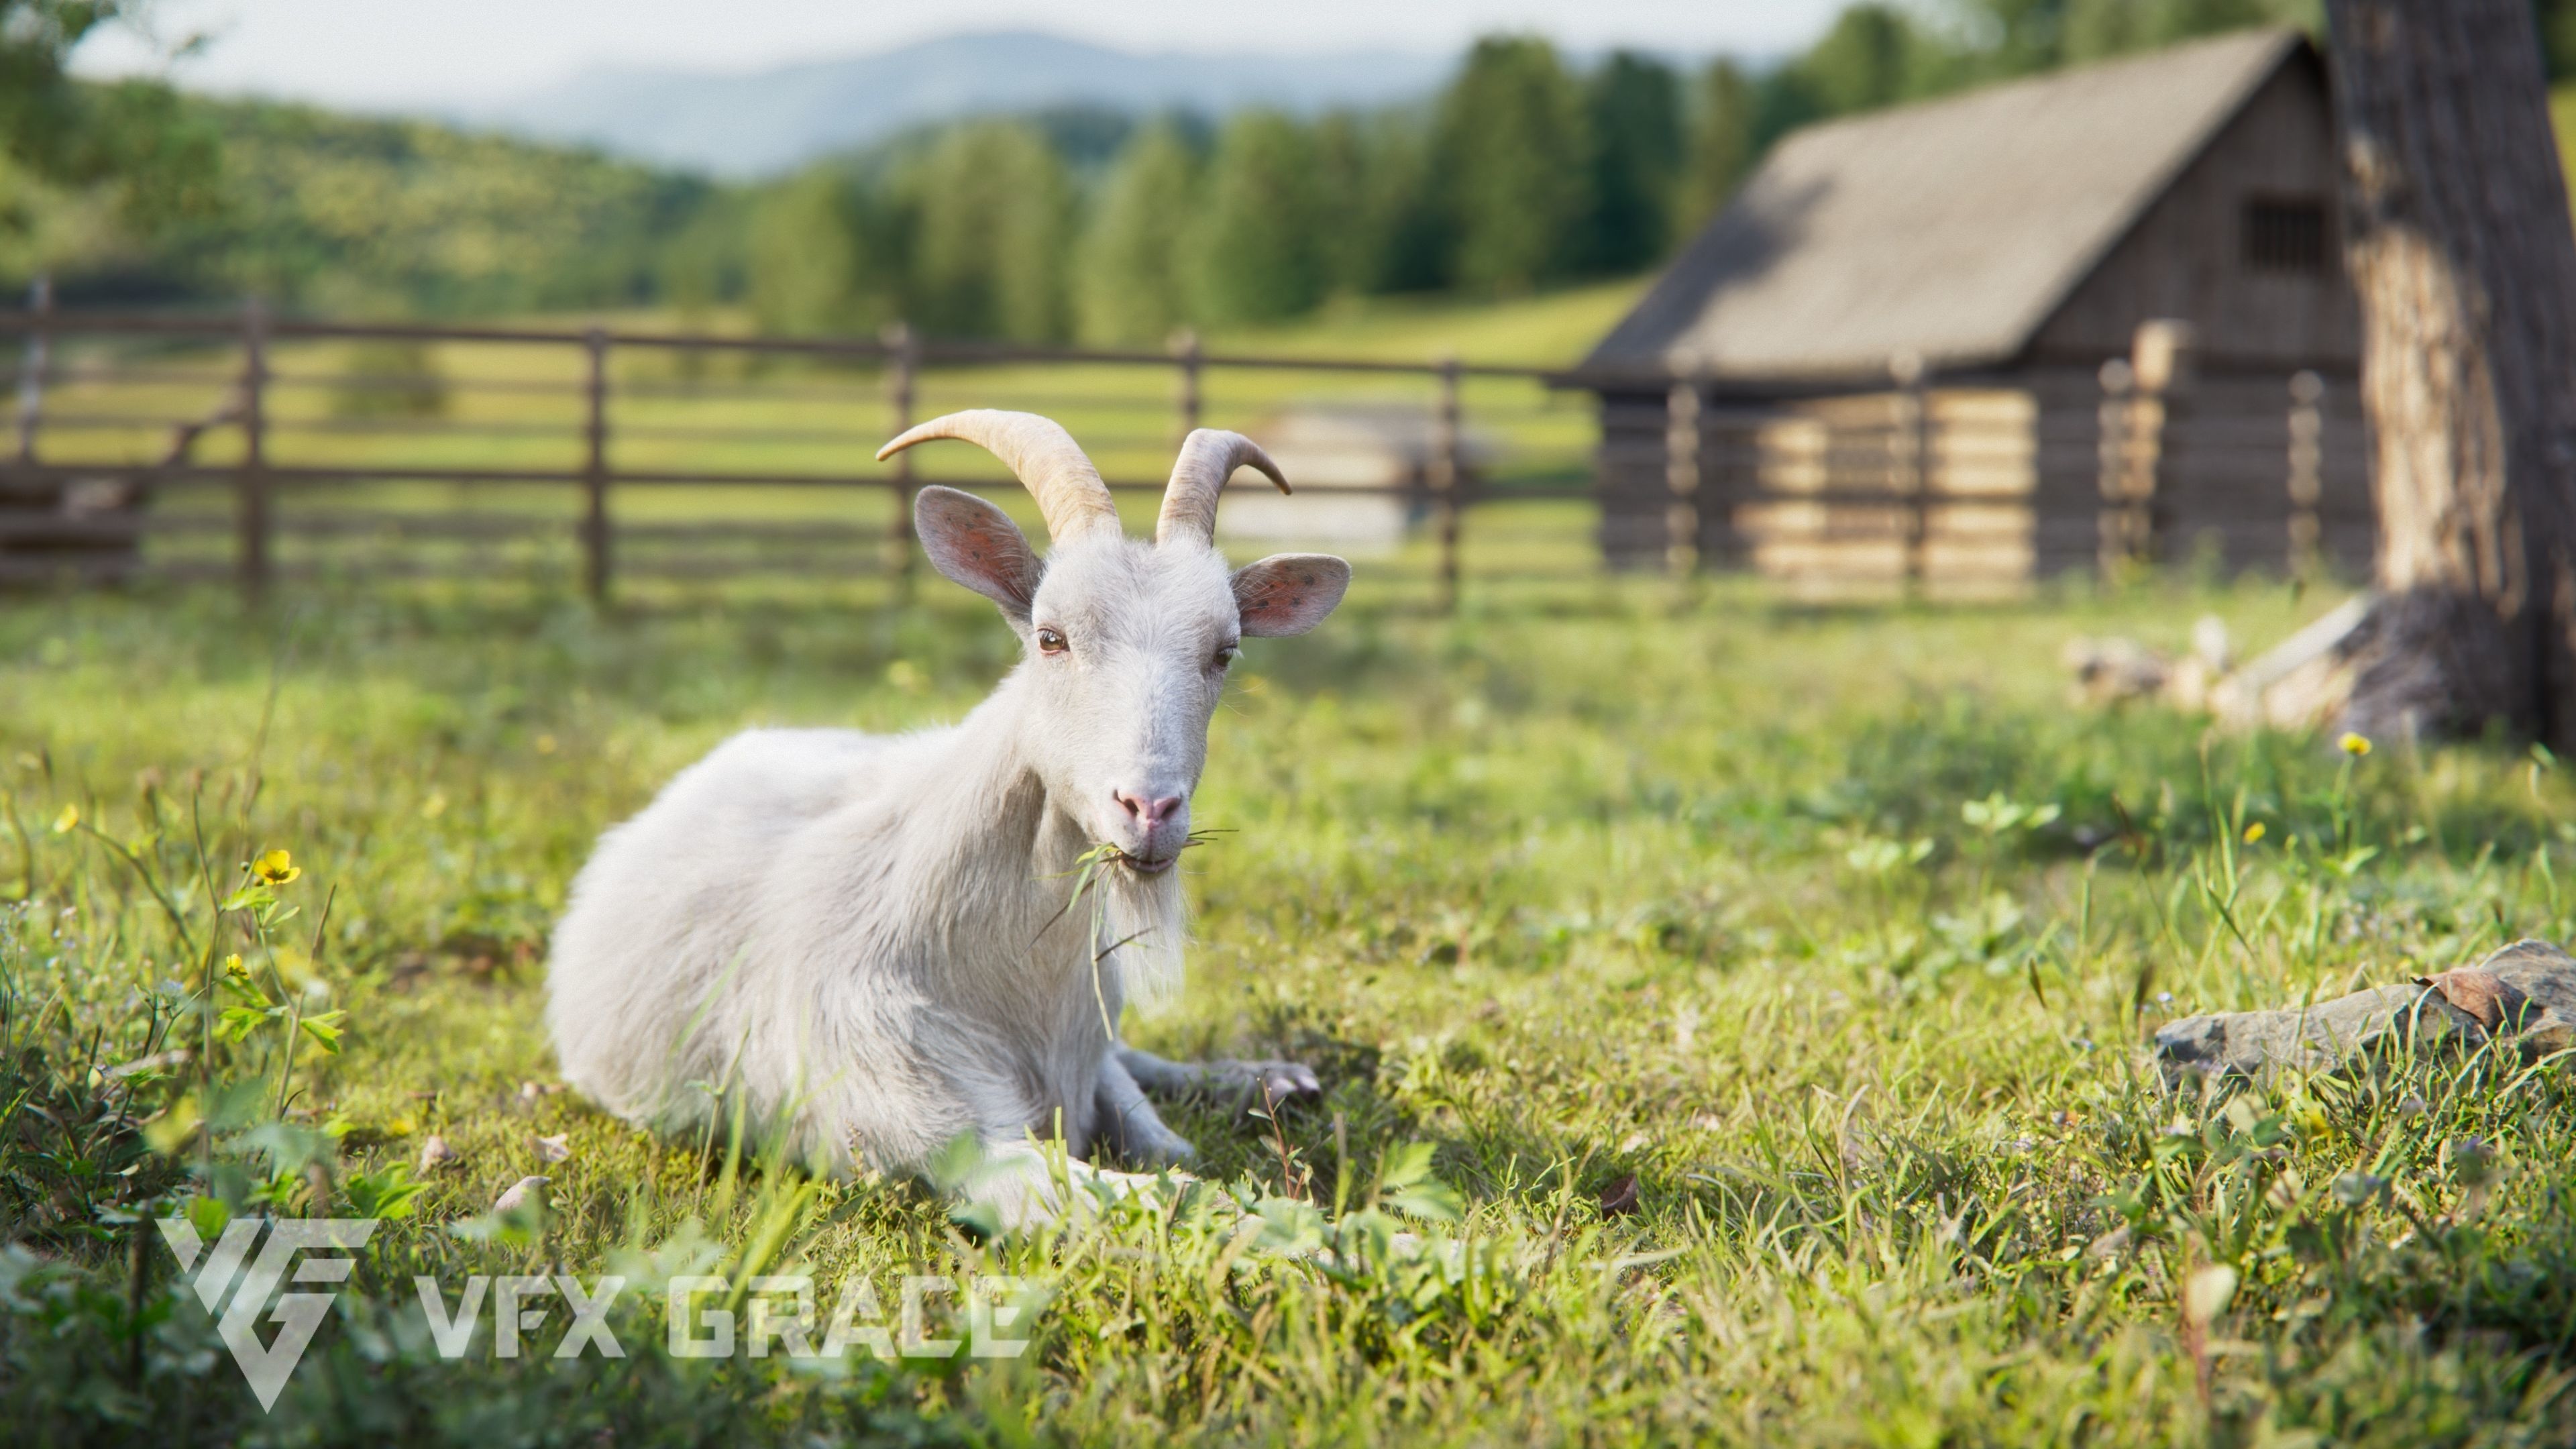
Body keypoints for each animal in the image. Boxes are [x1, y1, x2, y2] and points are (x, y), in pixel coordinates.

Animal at [544, 411, 1350, 1223]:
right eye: (1051, 637)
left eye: (1224, 651)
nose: (1149, 809)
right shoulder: (947, 1134)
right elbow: (1167, 1197)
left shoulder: (1081, 1061)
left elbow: (1162, 1141)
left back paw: (1273, 1077)